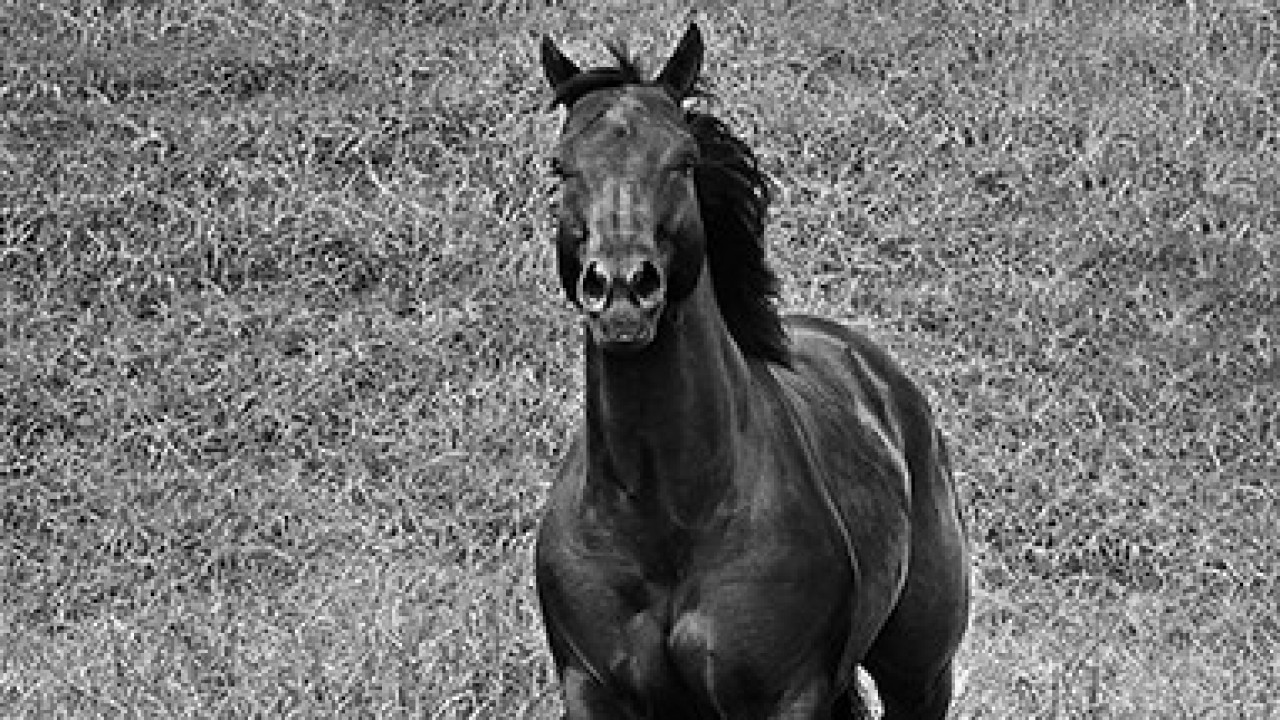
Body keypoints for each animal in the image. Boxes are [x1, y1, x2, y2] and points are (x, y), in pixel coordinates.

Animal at [532, 23, 967, 717]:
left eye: (683, 159)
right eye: (560, 166)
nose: (623, 291)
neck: (668, 513)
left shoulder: (785, 693)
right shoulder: (591, 687)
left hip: (921, 672)